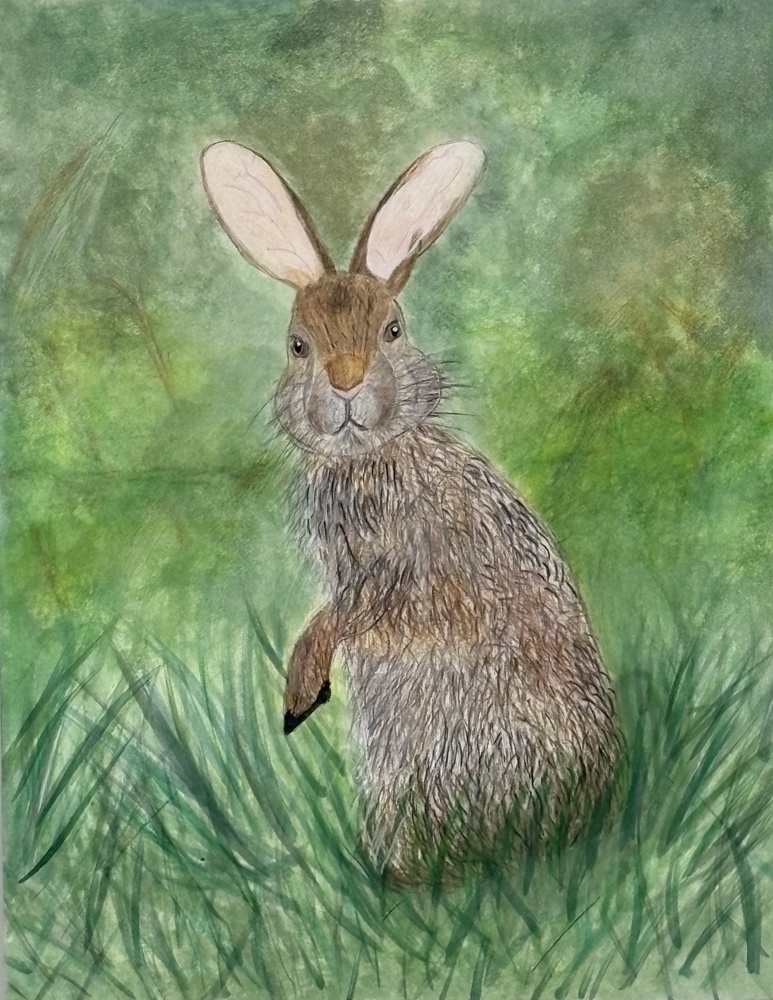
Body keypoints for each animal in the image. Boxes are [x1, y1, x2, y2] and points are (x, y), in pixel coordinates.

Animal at [201, 139, 624, 881]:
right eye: (298, 345)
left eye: (393, 331)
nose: (345, 383)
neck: (371, 455)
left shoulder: (394, 574)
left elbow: (349, 615)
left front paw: (300, 690)